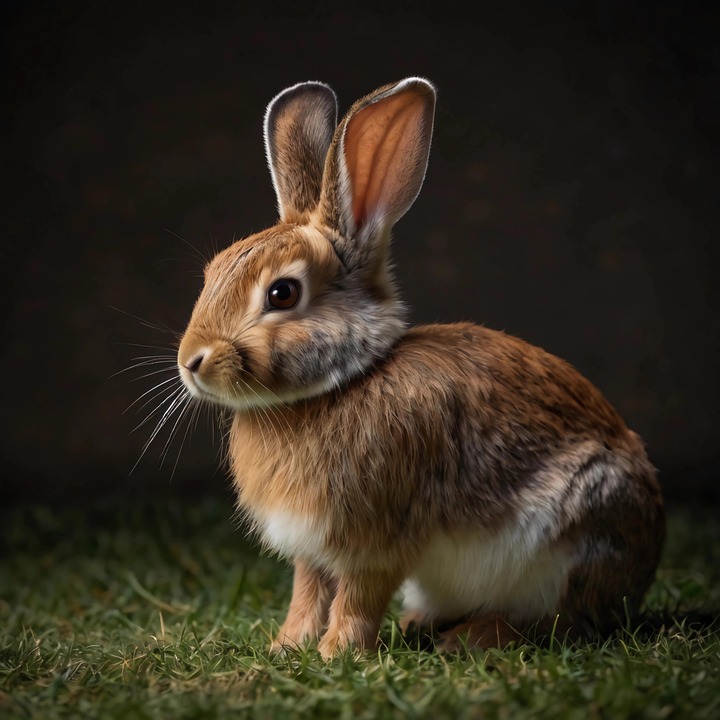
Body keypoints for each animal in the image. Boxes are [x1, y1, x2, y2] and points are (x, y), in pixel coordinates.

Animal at [176, 77, 665, 659]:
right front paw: (287, 647)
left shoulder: (376, 540)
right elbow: (307, 593)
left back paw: (472, 637)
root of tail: (642, 570)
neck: (340, 385)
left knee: (562, 621)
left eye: (282, 293)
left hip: (574, 542)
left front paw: (337, 653)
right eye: (211, 272)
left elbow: (357, 599)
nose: (190, 363)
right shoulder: (311, 550)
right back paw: (422, 623)